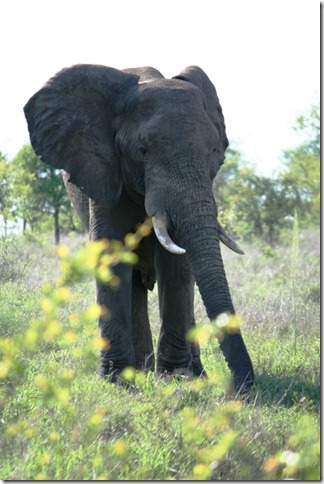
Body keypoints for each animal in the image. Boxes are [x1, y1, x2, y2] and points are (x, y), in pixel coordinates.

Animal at [24, 62, 254, 392]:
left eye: (214, 152)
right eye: (142, 151)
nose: (244, 386)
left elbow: (177, 264)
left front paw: (177, 378)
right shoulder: (103, 172)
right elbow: (112, 255)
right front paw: (117, 383)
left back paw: (191, 373)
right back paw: (140, 373)